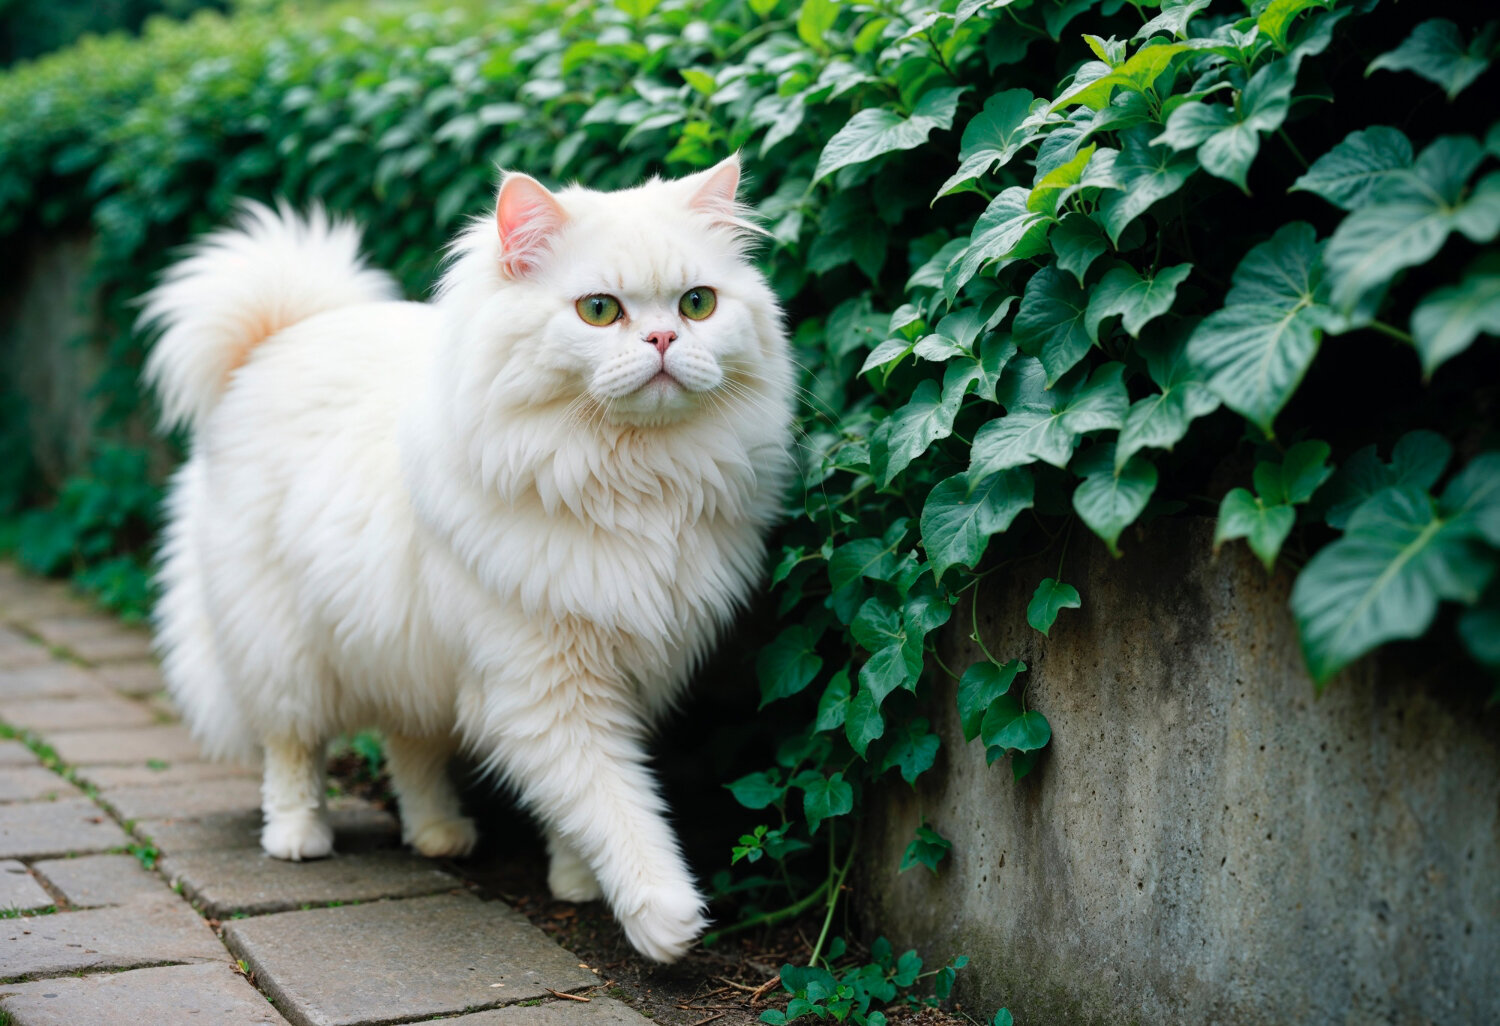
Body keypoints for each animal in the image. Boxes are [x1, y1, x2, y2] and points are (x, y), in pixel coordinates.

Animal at [141, 156, 798, 966]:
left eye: (698, 304)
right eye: (600, 310)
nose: (664, 338)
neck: (632, 482)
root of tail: (286, 331)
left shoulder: (623, 675)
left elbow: (578, 806)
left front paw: (578, 882)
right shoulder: (548, 690)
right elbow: (615, 804)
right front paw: (664, 916)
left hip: (400, 647)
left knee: (409, 748)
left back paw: (439, 835)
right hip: (284, 649)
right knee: (292, 748)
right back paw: (299, 837)